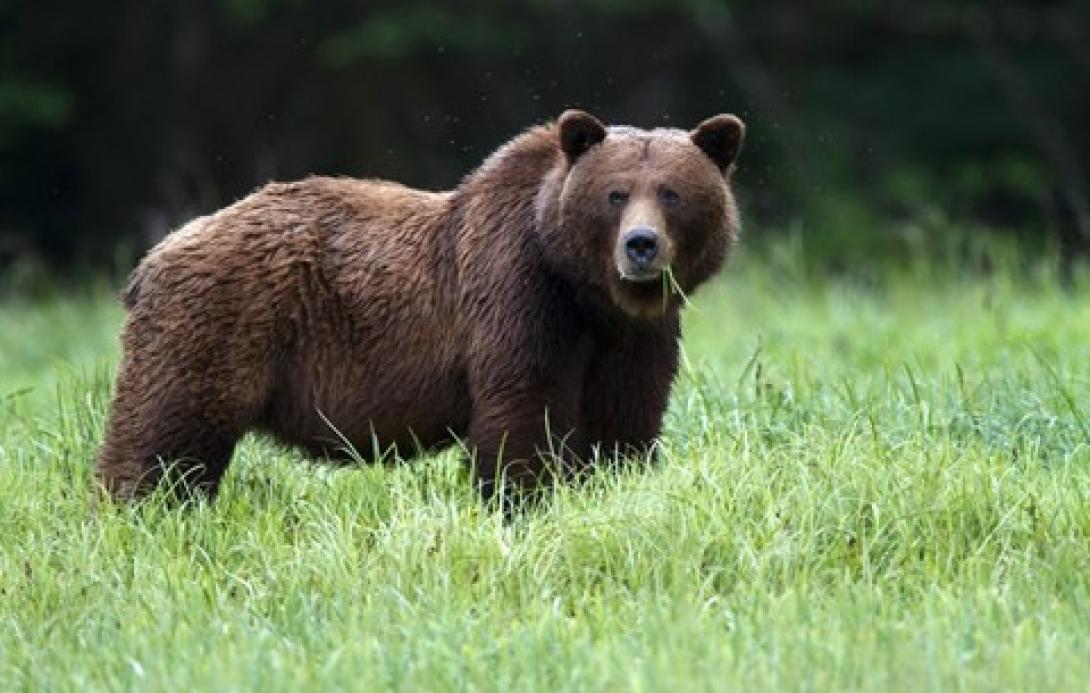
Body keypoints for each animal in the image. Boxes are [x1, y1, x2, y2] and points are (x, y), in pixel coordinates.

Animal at [95, 111, 741, 505]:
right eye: (615, 194)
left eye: (671, 193)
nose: (641, 246)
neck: (584, 291)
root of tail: (155, 254)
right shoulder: (518, 296)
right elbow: (522, 412)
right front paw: (519, 499)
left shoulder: (637, 337)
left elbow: (625, 419)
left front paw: (614, 482)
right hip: (217, 320)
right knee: (165, 433)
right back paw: (134, 510)